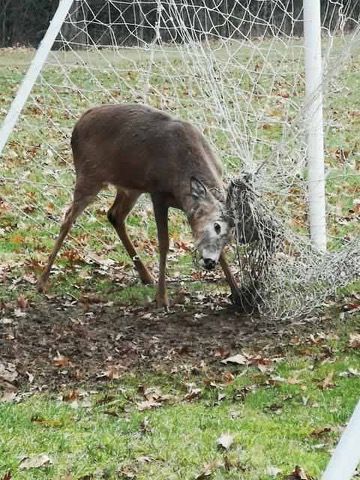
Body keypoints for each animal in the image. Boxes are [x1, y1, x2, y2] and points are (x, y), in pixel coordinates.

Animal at [37, 103, 242, 310]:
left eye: (230, 237)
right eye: (216, 226)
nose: (209, 262)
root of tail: (80, 121)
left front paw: (237, 293)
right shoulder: (157, 193)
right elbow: (164, 243)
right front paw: (162, 298)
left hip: (129, 187)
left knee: (114, 215)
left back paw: (146, 276)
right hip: (89, 174)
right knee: (68, 218)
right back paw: (42, 282)